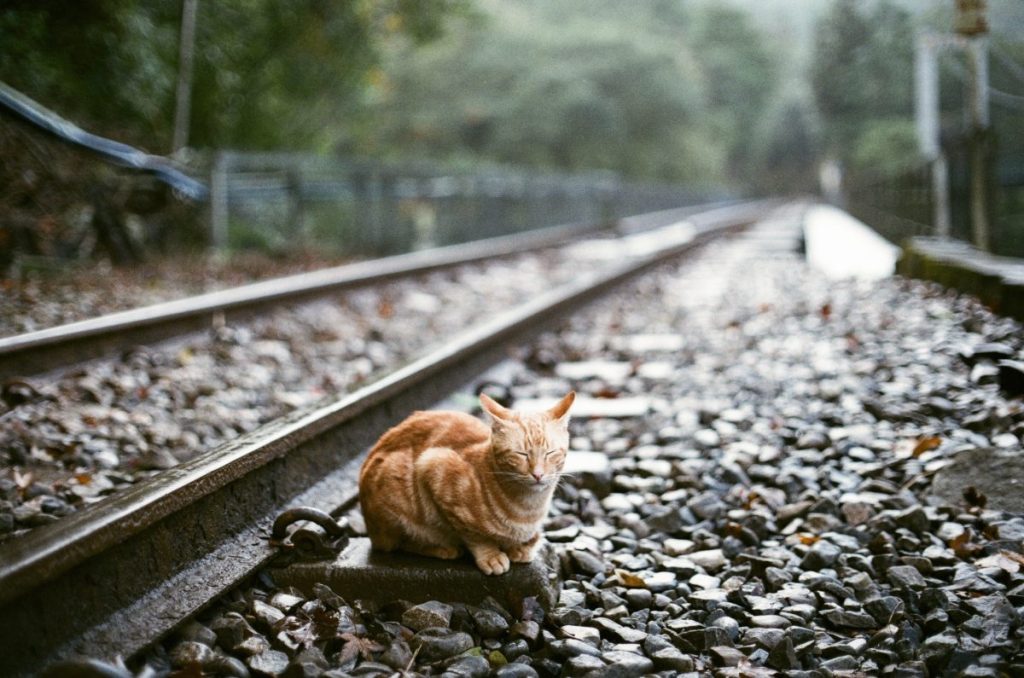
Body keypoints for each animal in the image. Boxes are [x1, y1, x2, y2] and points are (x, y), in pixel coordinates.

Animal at [358, 391, 569, 577]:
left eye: (550, 453)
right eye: (521, 454)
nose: (538, 474)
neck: (529, 508)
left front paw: (521, 547)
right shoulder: (434, 466)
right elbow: (474, 535)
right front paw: (491, 555)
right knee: (399, 543)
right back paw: (441, 548)